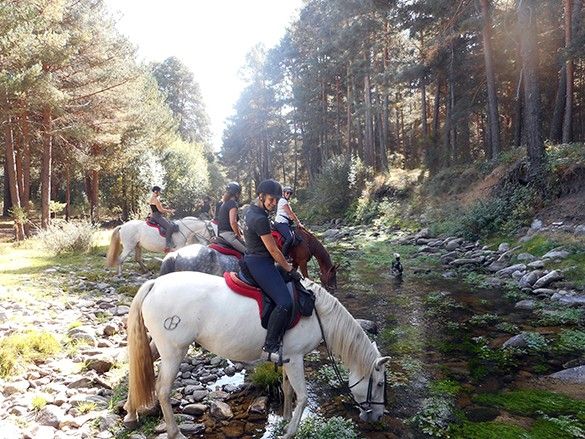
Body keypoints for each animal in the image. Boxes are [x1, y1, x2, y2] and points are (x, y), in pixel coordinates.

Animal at [125, 274, 390, 438]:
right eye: (378, 384)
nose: (378, 416)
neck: (318, 314)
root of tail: (155, 284)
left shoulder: (287, 358)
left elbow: (288, 389)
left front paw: (284, 418)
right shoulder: (296, 358)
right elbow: (303, 397)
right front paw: (289, 432)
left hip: (160, 346)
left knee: (139, 367)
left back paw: (130, 412)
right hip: (174, 350)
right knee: (162, 390)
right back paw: (175, 432)